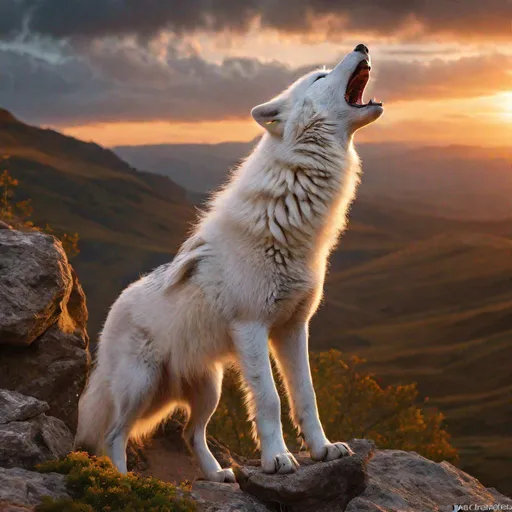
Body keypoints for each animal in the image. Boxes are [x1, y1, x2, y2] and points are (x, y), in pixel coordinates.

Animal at [75, 43, 380, 480]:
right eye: (319, 77)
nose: (362, 46)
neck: (289, 225)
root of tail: (113, 309)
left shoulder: (292, 329)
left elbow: (306, 396)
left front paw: (323, 450)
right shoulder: (252, 328)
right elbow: (269, 400)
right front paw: (277, 459)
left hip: (208, 390)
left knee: (190, 433)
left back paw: (218, 474)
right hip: (141, 386)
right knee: (113, 434)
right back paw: (122, 479)